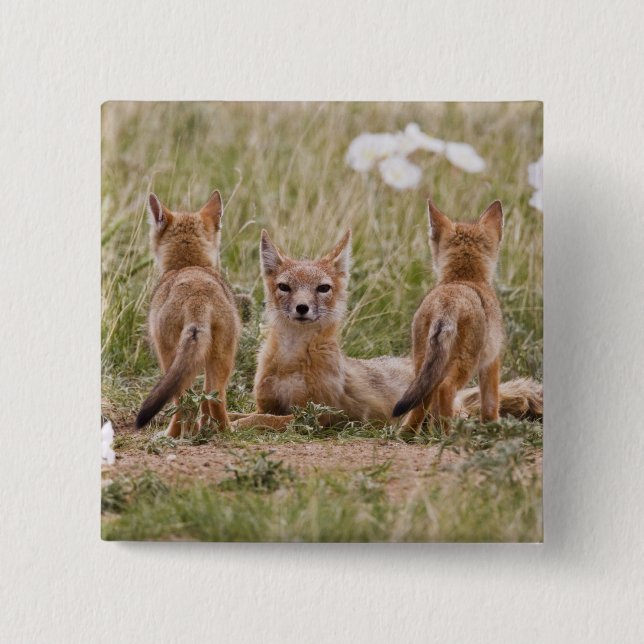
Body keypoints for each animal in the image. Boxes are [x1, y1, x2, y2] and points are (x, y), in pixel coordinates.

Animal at [135, 190, 241, 437]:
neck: (188, 265)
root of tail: (197, 296)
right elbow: (203, 401)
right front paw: (202, 429)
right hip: (222, 357)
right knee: (214, 398)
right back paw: (225, 432)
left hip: (169, 358)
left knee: (182, 401)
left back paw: (171, 436)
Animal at [231, 226, 541, 431]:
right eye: (285, 287)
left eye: (323, 288)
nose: (302, 308)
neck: (290, 361)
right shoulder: (267, 403)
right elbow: (241, 412)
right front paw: (222, 421)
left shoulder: (315, 414)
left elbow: (260, 420)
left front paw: (234, 426)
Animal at [392, 199, 506, 431]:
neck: (463, 279)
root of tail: (447, 302)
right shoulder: (492, 361)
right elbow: (491, 402)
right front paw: (494, 427)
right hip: (465, 364)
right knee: (446, 389)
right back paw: (448, 432)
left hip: (423, 364)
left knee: (423, 399)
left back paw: (409, 433)